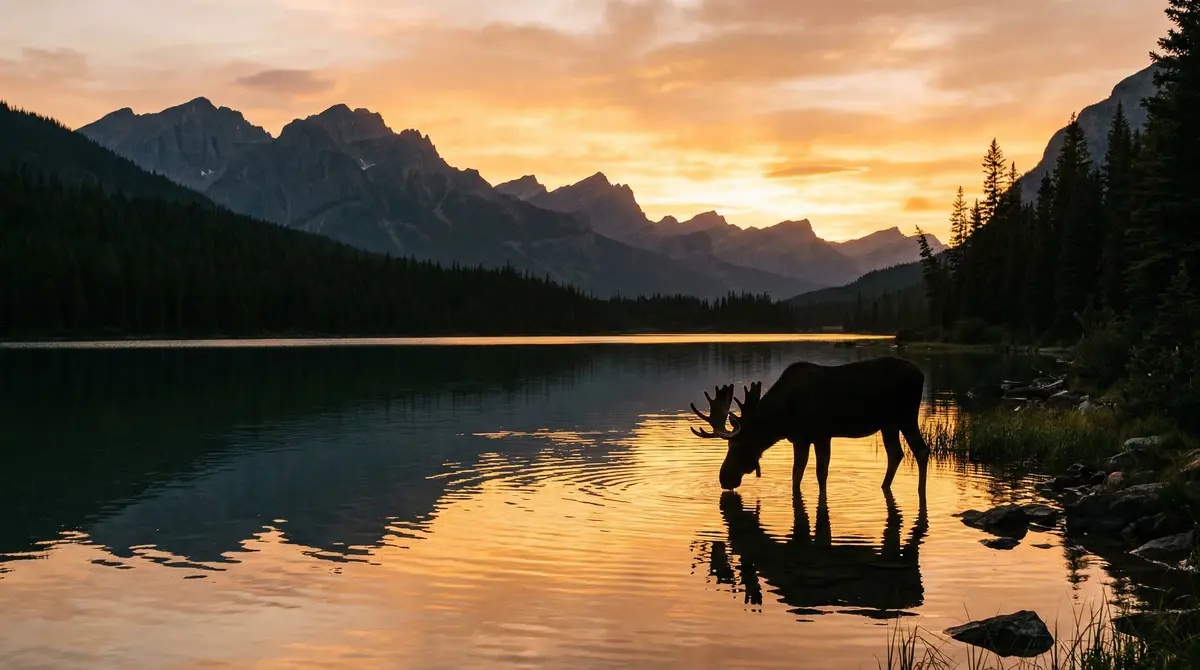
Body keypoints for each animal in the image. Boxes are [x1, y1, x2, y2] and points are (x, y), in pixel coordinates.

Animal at [689, 356, 931, 493]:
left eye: (737, 446)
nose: (723, 478)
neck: (783, 418)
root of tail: (921, 374)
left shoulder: (823, 434)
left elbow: (821, 473)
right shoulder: (800, 439)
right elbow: (797, 474)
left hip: (906, 416)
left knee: (921, 450)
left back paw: (920, 490)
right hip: (889, 424)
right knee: (897, 453)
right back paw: (885, 485)